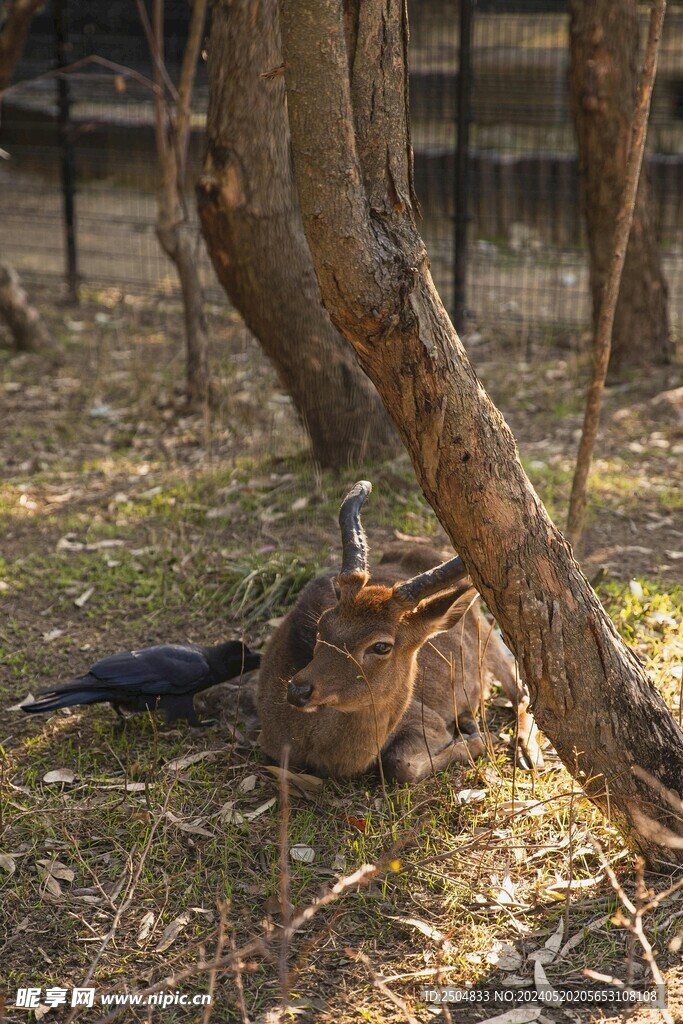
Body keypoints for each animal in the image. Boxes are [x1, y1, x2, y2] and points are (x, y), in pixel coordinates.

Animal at [257, 481, 538, 782]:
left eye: (381, 646)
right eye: (322, 624)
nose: (297, 690)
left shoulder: (426, 721)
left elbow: (400, 765)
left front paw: (476, 740)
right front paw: (472, 735)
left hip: (487, 632)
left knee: (520, 689)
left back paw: (527, 753)